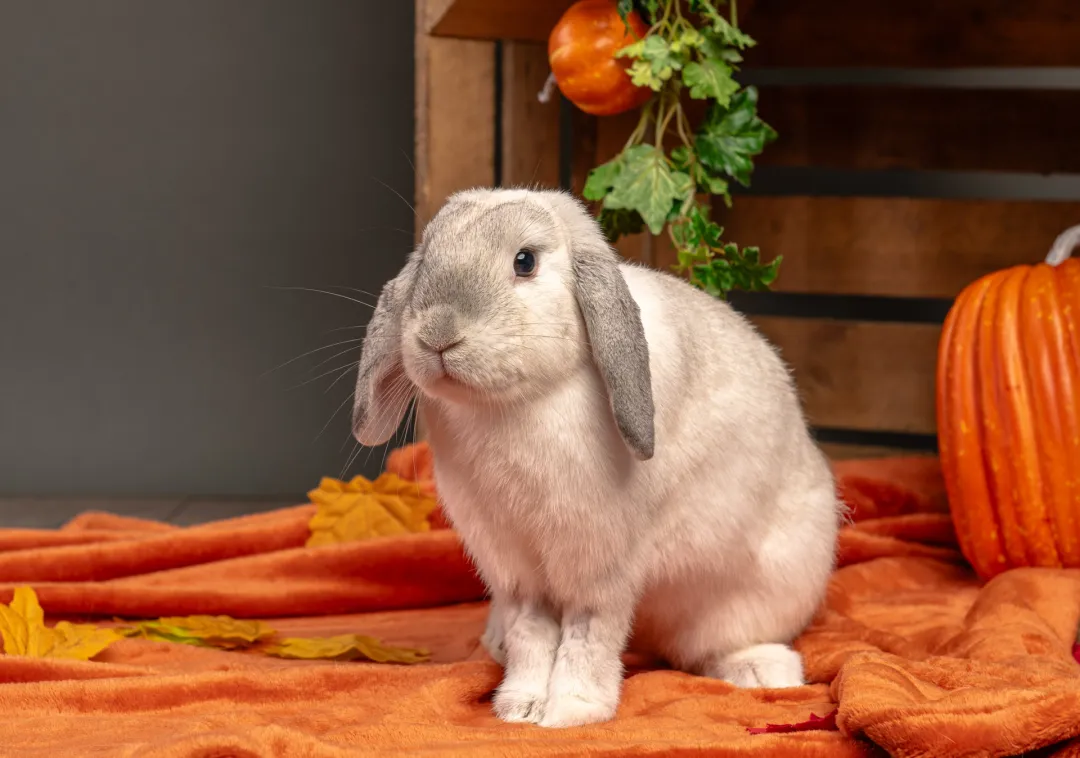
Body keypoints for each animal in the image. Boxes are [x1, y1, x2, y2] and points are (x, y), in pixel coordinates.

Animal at [351, 187, 843, 729]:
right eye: (425, 259)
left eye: (525, 261)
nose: (438, 333)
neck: (513, 406)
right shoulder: (514, 569)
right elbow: (532, 633)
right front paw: (520, 706)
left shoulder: (598, 565)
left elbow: (588, 634)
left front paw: (571, 711)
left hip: (753, 595)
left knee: (720, 642)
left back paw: (762, 671)